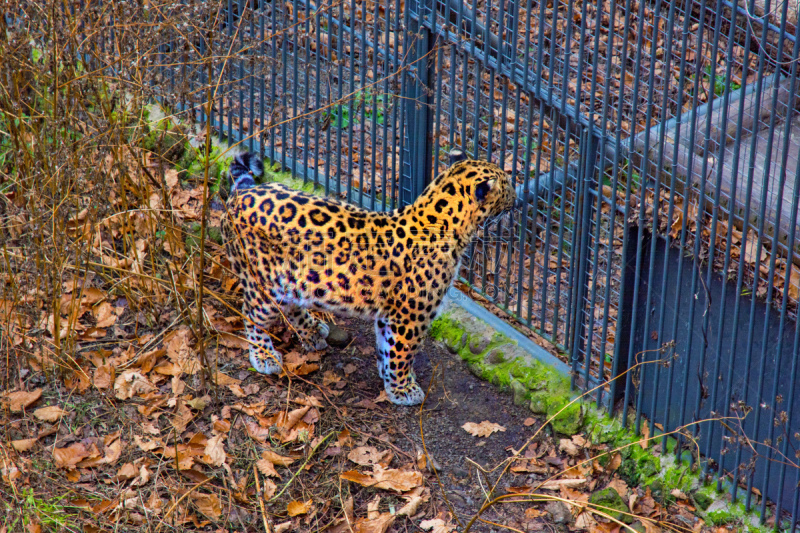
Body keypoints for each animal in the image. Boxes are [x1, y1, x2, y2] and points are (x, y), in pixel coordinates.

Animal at [222, 152, 516, 406]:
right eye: (506, 183)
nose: (517, 198)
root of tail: (241, 194)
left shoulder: (390, 314)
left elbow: (388, 348)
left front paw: (390, 378)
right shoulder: (410, 317)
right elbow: (403, 352)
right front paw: (403, 389)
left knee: (292, 307)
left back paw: (314, 330)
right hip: (263, 284)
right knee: (251, 314)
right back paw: (264, 355)